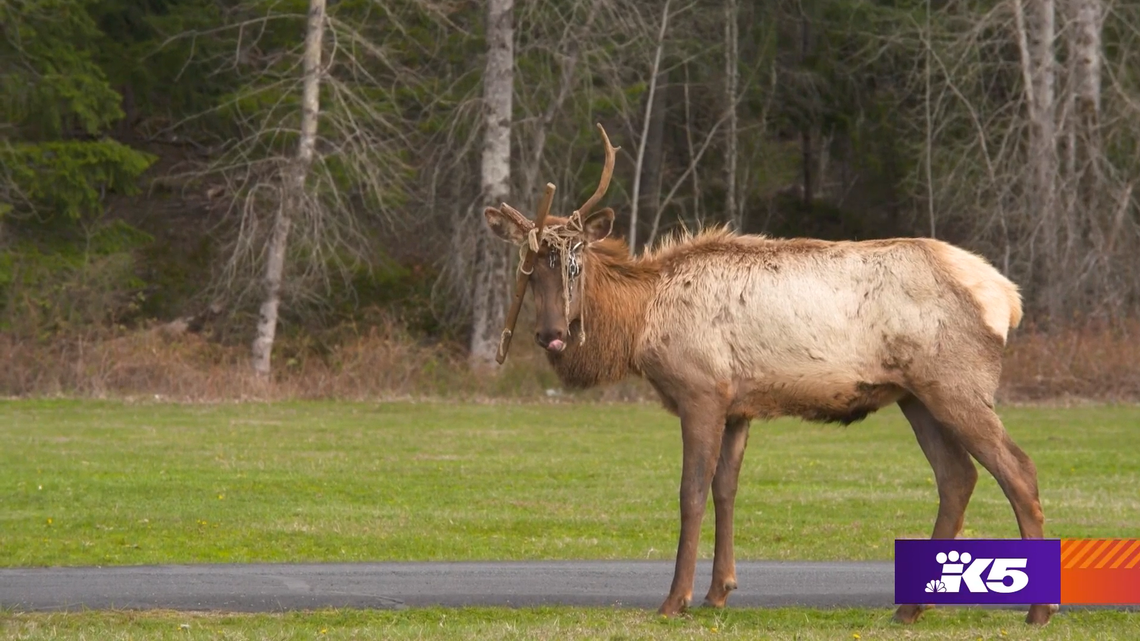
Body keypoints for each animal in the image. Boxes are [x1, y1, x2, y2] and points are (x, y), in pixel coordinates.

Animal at [482, 123, 1057, 626]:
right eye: (528, 267)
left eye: (574, 261)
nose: (552, 333)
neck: (641, 323)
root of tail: (1008, 299)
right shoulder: (739, 406)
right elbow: (725, 490)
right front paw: (718, 593)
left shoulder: (702, 391)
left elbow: (691, 492)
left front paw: (675, 600)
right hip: (915, 396)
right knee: (957, 477)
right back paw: (911, 609)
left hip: (956, 385)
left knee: (1018, 470)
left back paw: (1038, 611)